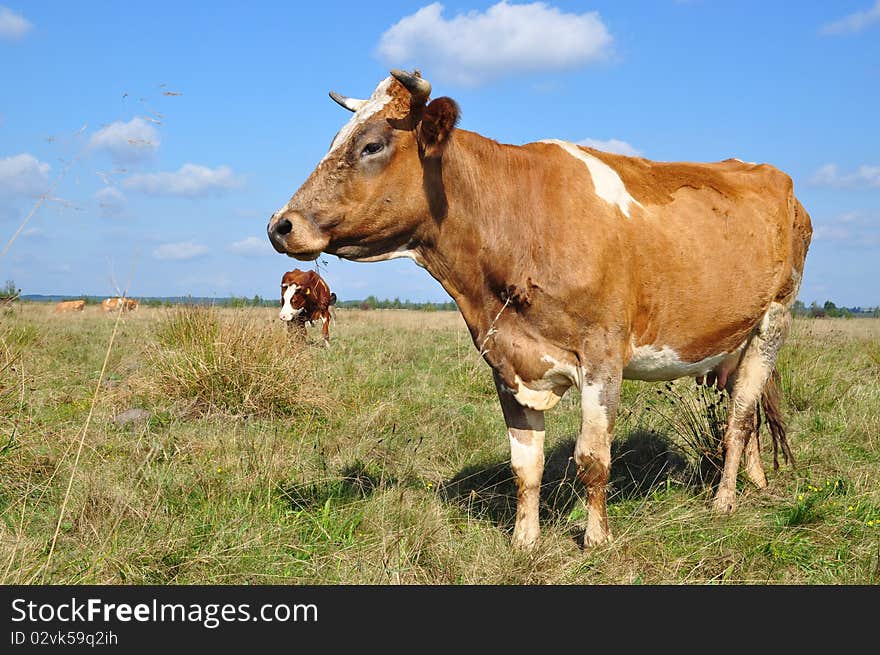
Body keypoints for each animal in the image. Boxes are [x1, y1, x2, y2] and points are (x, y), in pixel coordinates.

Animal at [264, 69, 816, 548]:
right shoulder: (505, 359)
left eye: (372, 145)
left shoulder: (602, 357)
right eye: (336, 139)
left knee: (740, 416)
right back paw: (755, 481)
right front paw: (524, 540)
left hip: (774, 320)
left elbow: (592, 458)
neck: (519, 221)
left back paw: (724, 500)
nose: (280, 225)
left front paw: (596, 538)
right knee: (752, 411)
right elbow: (524, 465)